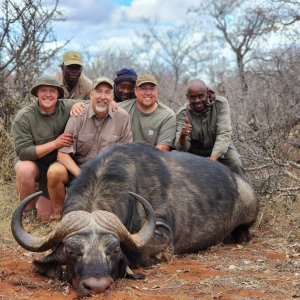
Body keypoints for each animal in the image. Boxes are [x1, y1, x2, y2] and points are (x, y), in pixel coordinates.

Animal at [10, 143, 256, 298]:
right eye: (71, 252)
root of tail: (239, 182)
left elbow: (138, 253)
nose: (98, 286)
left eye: (114, 251)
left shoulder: (162, 232)